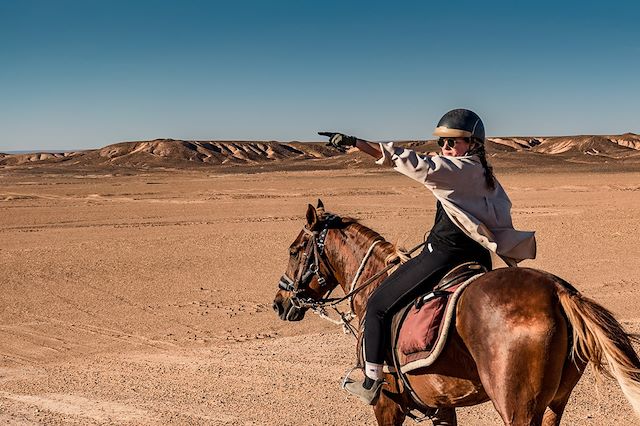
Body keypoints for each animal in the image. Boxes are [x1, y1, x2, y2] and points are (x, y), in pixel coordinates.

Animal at [272, 201, 640, 424]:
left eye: (294, 250)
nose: (279, 302)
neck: (373, 283)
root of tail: (557, 291)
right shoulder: (441, 405)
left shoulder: (387, 405)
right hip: (555, 403)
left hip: (519, 409)